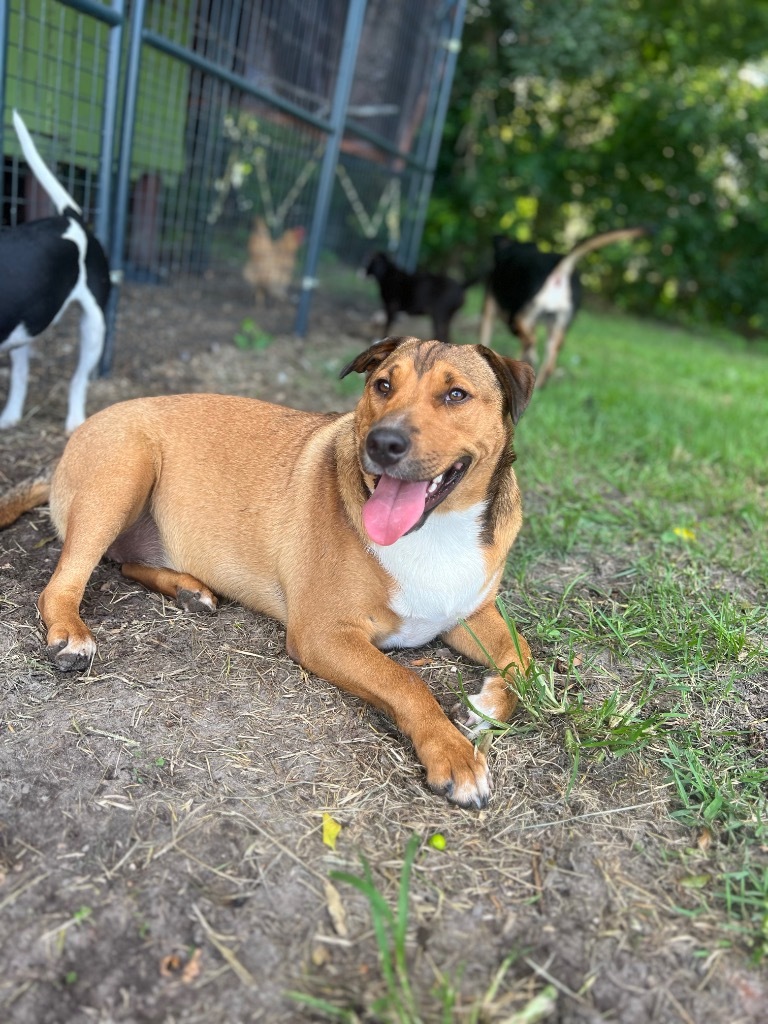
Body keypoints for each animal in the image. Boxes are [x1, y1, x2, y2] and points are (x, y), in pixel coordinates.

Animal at [0, 111, 111, 432]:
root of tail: (71, 219)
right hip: (25, 324)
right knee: (20, 375)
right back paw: (10, 416)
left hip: (94, 326)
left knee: (78, 381)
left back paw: (75, 421)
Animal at [3, 335, 536, 806]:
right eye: (383, 385)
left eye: (456, 394)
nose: (383, 442)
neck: (437, 528)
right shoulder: (324, 634)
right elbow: (407, 682)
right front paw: (454, 754)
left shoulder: (473, 612)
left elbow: (524, 659)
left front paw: (487, 706)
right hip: (121, 476)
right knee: (62, 583)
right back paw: (72, 633)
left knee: (128, 562)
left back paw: (188, 590)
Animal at [481, 226, 651, 385]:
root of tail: (560, 269)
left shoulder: (490, 307)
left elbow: (486, 338)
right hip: (558, 324)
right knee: (548, 361)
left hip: (521, 316)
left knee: (529, 340)